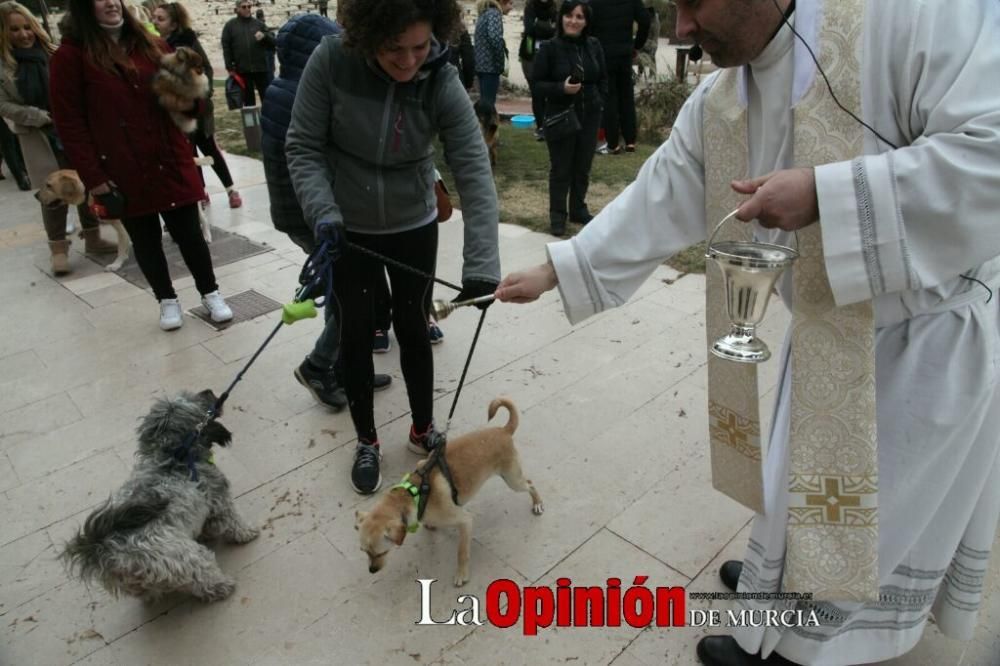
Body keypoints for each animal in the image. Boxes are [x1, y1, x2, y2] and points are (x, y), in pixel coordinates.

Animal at [60, 390, 258, 600]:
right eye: (198, 400)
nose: (209, 391)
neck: (173, 456)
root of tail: (104, 547)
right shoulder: (219, 501)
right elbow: (234, 523)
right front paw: (248, 533)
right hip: (186, 557)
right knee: (203, 577)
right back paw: (223, 586)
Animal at [356, 396, 544, 584]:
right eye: (364, 552)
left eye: (381, 552)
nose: (372, 570)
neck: (412, 494)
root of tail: (503, 430)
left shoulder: (465, 521)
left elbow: (462, 552)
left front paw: (462, 574)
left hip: (513, 480)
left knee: (530, 483)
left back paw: (537, 503)